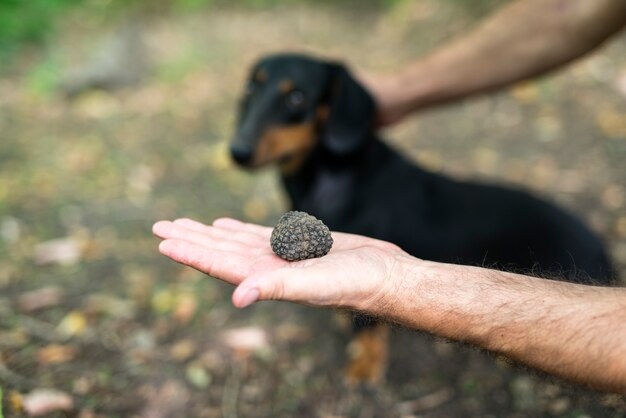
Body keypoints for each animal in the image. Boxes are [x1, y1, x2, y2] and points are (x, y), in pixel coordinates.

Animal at [228, 52, 608, 386]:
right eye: (249, 89)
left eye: (296, 97)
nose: (237, 152)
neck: (333, 175)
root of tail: (602, 248)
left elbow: (366, 328)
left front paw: (364, 365)